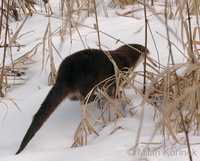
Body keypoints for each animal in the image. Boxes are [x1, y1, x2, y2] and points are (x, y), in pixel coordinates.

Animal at [16, 43, 148, 154]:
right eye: (143, 49)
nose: (148, 50)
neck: (124, 56)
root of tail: (66, 76)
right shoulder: (116, 77)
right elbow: (113, 91)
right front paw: (118, 95)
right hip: (88, 82)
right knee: (86, 99)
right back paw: (98, 99)